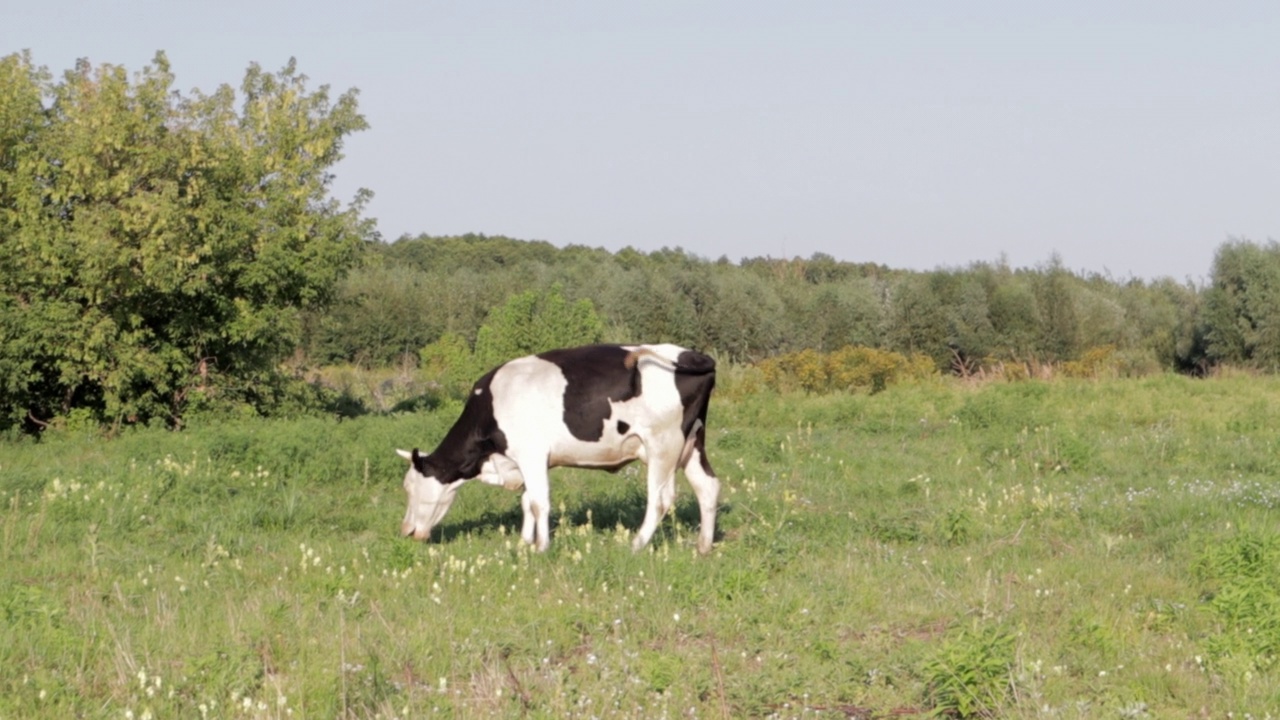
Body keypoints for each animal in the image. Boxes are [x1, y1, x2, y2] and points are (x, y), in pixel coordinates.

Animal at [394, 343, 721, 556]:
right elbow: (527, 501)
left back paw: (636, 545)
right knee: (707, 486)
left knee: (661, 498)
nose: (406, 531)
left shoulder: (531, 455)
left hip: (662, 446)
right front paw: (524, 542)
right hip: (692, 442)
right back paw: (703, 546)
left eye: (409, 488)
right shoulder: (527, 461)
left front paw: (541, 547)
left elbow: (539, 502)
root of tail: (695, 354)